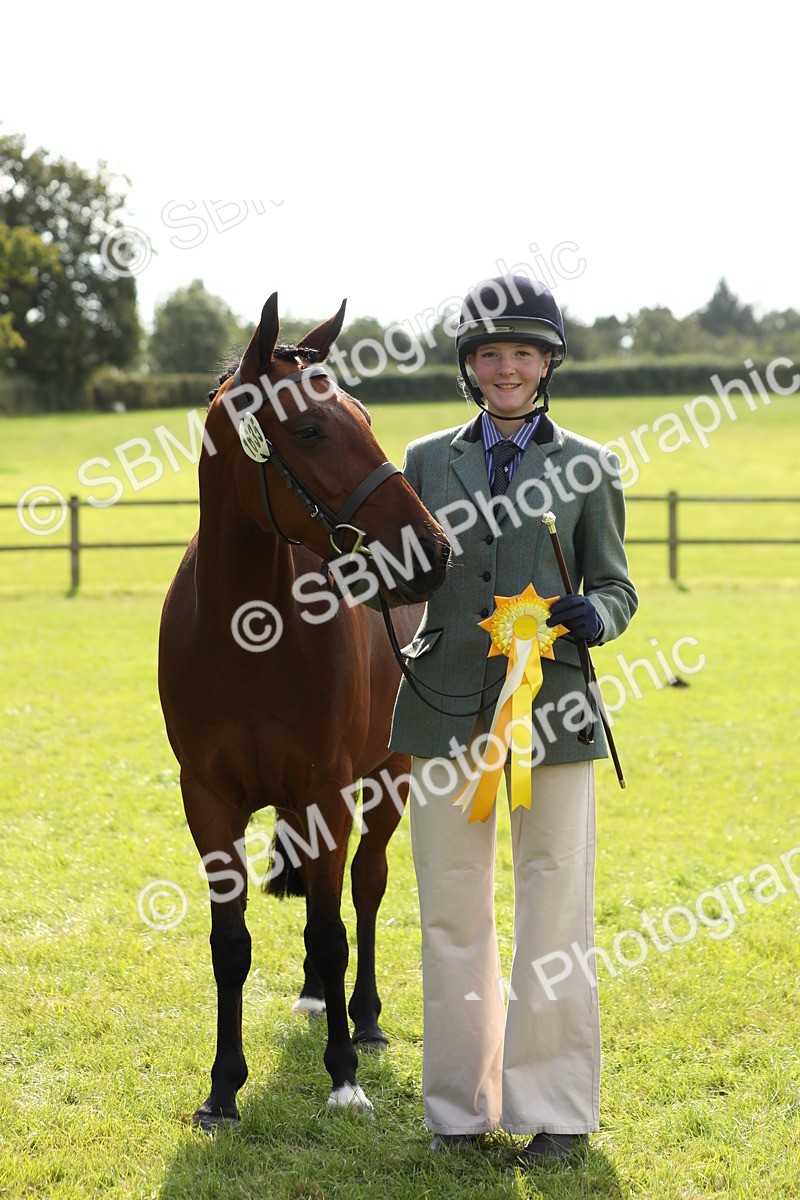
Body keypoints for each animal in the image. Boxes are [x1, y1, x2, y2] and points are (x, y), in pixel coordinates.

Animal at [158, 293, 449, 1129]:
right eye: (312, 428)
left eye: (366, 418)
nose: (433, 549)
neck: (245, 633)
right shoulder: (209, 803)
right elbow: (231, 945)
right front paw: (222, 1090)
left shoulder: (328, 793)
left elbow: (332, 928)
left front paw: (344, 1075)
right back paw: (321, 999)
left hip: (385, 783)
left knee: (366, 889)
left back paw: (366, 1019)